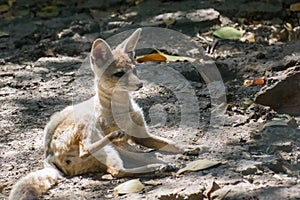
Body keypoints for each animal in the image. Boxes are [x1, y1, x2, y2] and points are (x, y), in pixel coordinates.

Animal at [8, 28, 202, 200]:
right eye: (119, 74)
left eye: (134, 70)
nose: (140, 84)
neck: (123, 110)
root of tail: (48, 156)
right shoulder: (123, 144)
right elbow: (142, 153)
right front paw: (162, 161)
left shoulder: (142, 135)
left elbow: (170, 143)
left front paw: (188, 148)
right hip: (93, 130)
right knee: (102, 161)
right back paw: (153, 165)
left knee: (112, 168)